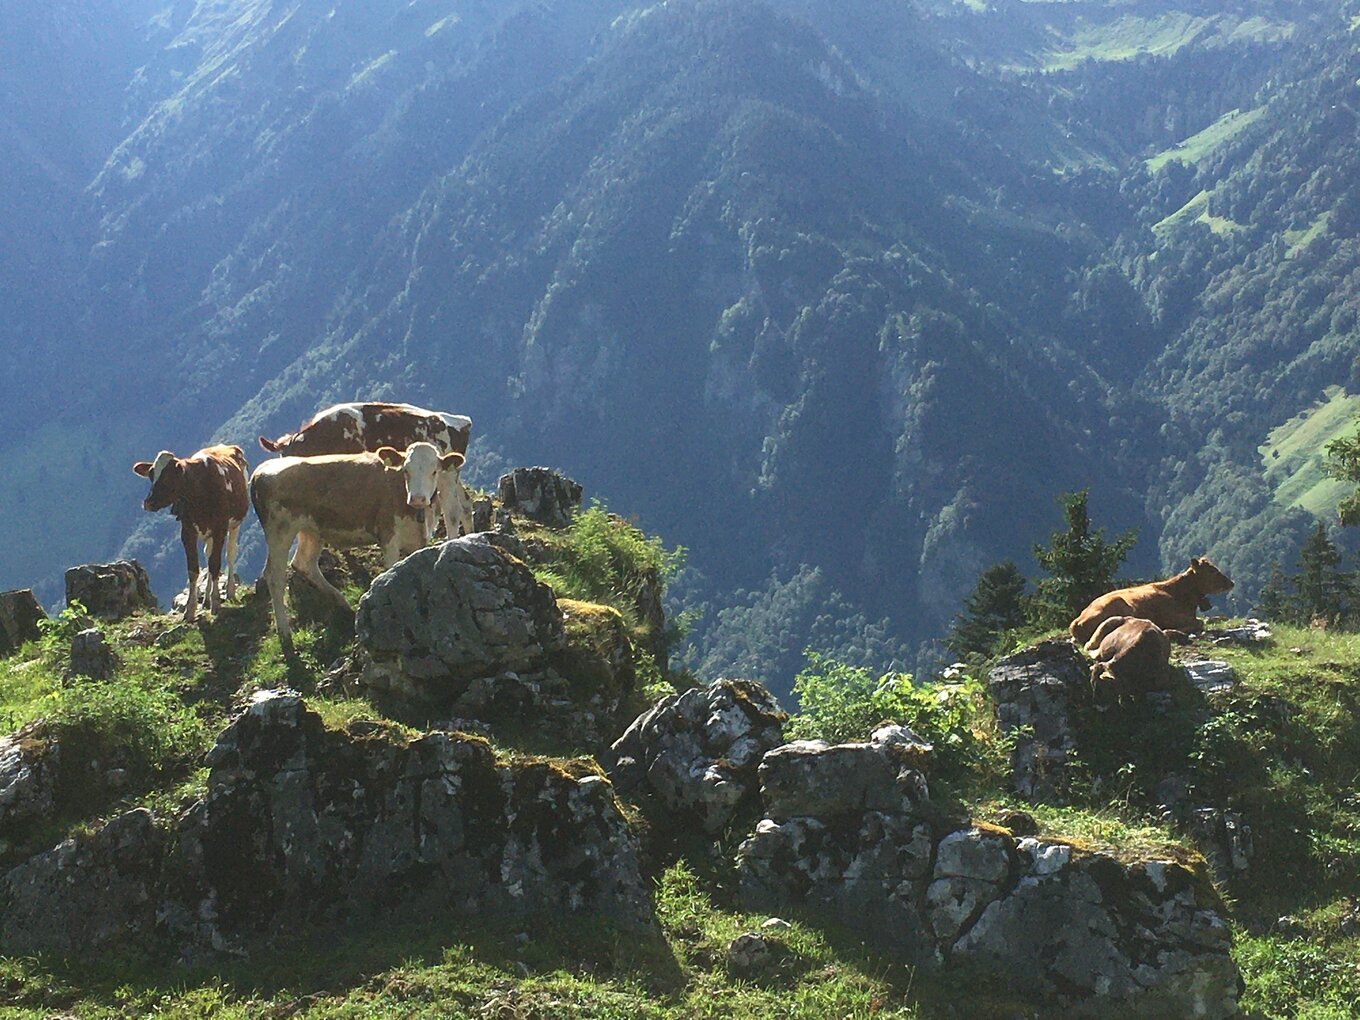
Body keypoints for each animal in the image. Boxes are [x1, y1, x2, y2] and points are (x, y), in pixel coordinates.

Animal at [133, 446, 251, 622]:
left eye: (168, 476)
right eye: (151, 475)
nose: (148, 503)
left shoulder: (220, 529)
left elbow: (215, 565)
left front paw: (216, 602)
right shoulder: (187, 532)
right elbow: (193, 570)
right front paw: (190, 609)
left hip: (235, 523)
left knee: (230, 553)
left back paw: (229, 591)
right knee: (208, 555)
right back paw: (206, 599)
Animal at [251, 440, 467, 655]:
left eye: (434, 471)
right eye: (406, 470)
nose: (418, 498)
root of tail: (261, 470)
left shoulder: (417, 541)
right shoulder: (388, 535)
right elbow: (391, 572)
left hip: (311, 530)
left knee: (303, 563)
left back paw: (344, 604)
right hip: (280, 531)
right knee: (275, 577)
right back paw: (285, 634)